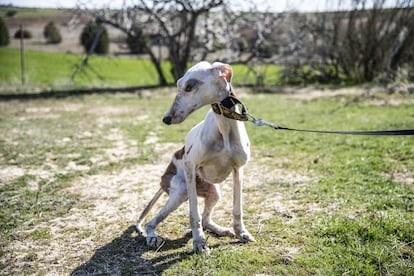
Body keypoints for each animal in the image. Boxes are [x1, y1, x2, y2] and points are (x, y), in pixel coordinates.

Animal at [136, 61, 254, 254]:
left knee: (206, 220)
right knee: (150, 223)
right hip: (181, 190)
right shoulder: (190, 165)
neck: (224, 128)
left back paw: (220, 229)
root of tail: (163, 178)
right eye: (177, 85)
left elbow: (237, 209)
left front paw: (241, 233)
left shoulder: (239, 170)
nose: (166, 119)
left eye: (189, 87)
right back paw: (152, 237)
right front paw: (199, 242)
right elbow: (194, 214)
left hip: (214, 192)